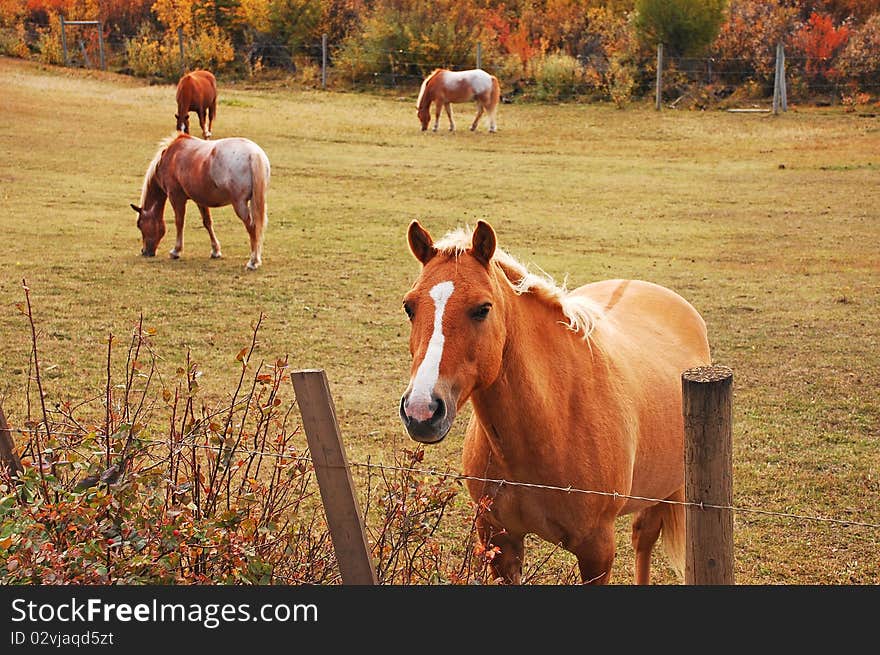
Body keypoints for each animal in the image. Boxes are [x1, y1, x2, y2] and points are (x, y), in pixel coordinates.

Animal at [131, 133, 272, 270]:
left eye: (139, 225)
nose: (144, 251)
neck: (170, 157)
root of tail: (253, 154)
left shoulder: (176, 198)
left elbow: (179, 222)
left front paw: (176, 251)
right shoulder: (200, 200)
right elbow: (207, 223)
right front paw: (215, 251)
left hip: (240, 204)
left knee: (252, 227)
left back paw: (253, 261)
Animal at [398, 222, 716, 584]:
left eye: (482, 308)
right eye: (409, 307)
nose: (421, 411)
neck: (554, 422)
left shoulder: (597, 551)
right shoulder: (499, 541)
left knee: (644, 538)